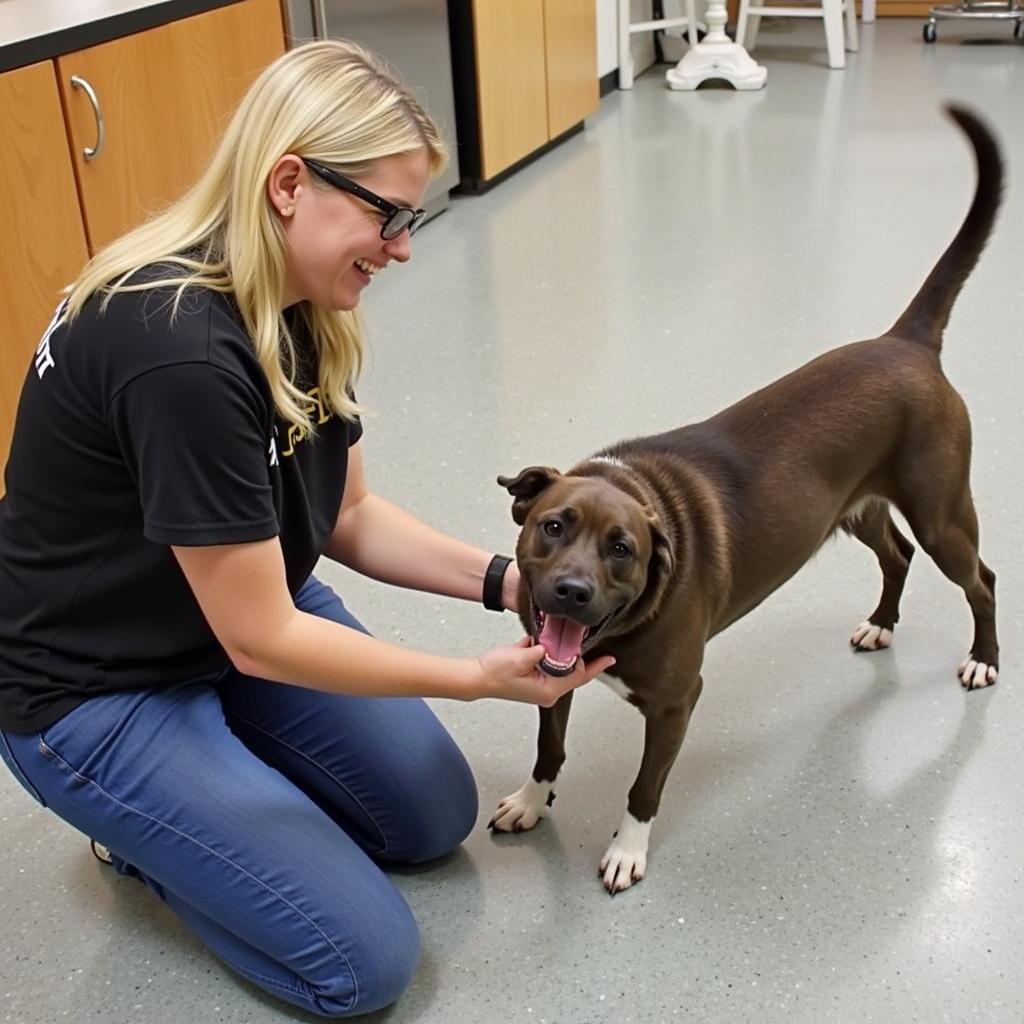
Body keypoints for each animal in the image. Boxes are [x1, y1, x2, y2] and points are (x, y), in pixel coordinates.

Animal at [487, 101, 999, 888]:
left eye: (622, 550)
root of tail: (906, 342)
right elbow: (550, 748)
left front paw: (628, 849)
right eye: (552, 526)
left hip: (942, 514)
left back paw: (984, 659)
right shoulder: (551, 674)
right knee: (897, 555)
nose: (572, 592)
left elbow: (644, 787)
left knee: (983, 579)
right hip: (856, 509)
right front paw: (529, 799)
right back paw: (882, 623)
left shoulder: (675, 702)